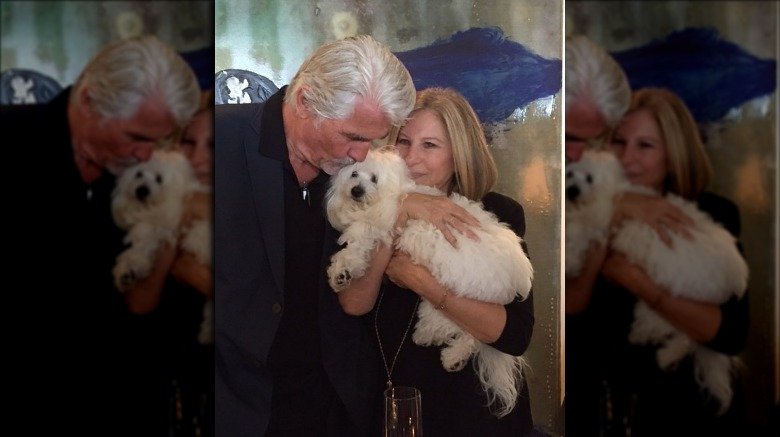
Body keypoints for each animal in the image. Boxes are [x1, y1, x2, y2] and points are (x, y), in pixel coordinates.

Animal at [110, 150, 213, 344]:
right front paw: (128, 271)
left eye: (159, 179)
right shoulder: (155, 231)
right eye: (139, 174)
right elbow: (141, 250)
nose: (142, 190)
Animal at [326, 146, 532, 416]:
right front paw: (342, 274)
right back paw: (451, 355)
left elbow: (357, 248)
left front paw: (342, 271)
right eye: (354, 174)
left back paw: (433, 340)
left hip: (457, 288)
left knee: (464, 329)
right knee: (467, 334)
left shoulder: (378, 227)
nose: (356, 190)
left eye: (374, 179)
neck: (393, 194)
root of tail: (519, 273)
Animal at [568, 150, 748, 412]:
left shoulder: (599, 223)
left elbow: (579, 236)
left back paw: (643, 338)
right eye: (570, 174)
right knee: (684, 338)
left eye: (590, 178)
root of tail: (734, 278)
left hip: (670, 296)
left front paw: (570, 261)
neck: (612, 192)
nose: (571, 190)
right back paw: (664, 355)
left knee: (669, 329)